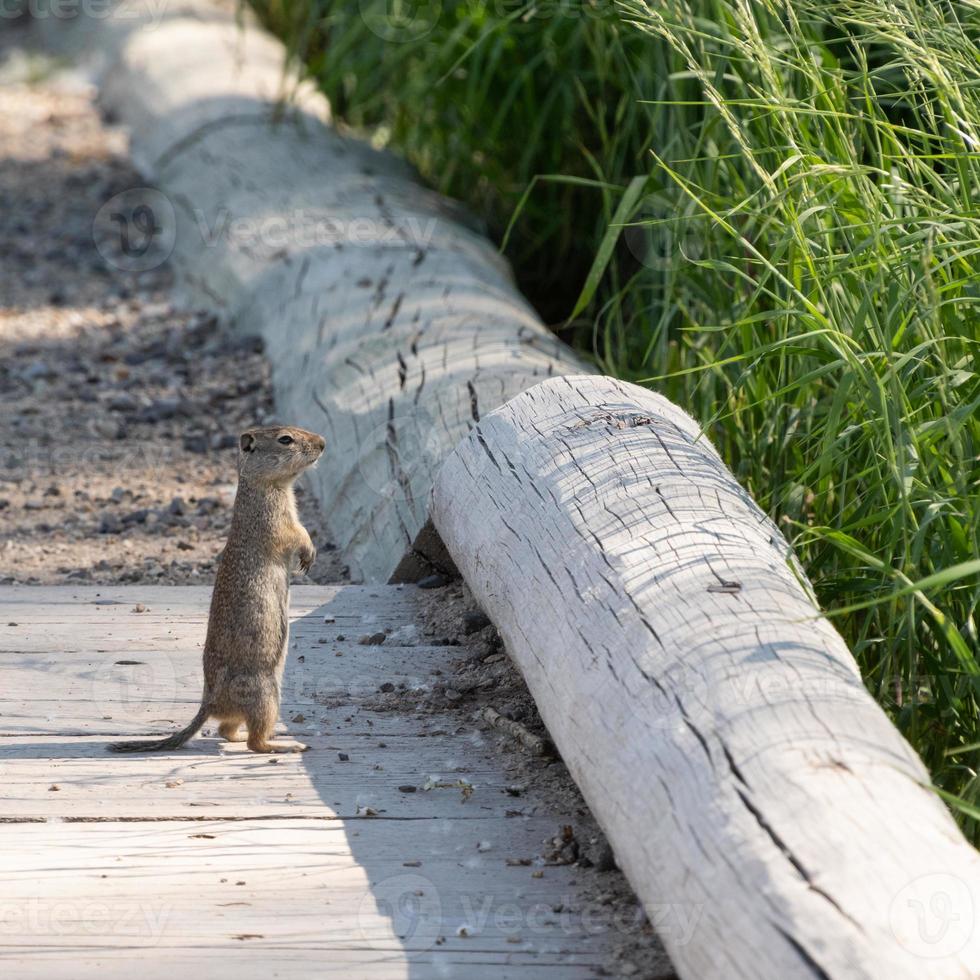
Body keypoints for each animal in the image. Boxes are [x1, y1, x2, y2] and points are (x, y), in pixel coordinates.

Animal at [109, 424, 328, 756]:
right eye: (285, 439)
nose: (323, 443)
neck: (265, 485)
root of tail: (208, 704)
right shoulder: (273, 518)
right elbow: (295, 534)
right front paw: (308, 553)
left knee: (227, 730)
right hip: (266, 694)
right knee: (254, 741)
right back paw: (286, 745)